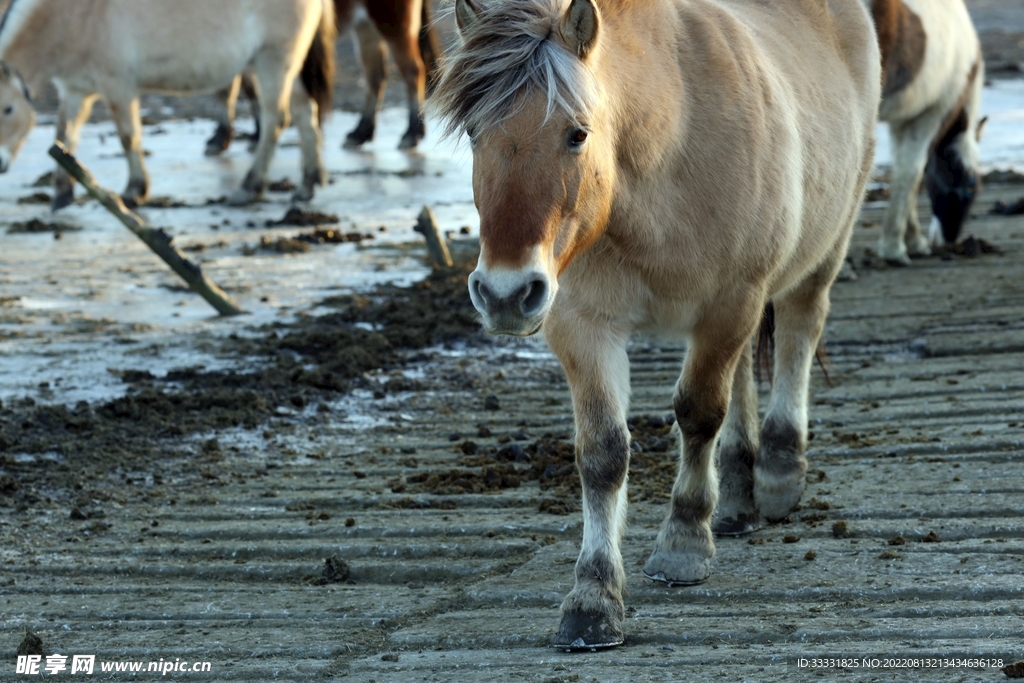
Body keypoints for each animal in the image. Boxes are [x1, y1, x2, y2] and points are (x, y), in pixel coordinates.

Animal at [0, 0, 335, 209]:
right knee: (305, 114)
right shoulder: (74, 92)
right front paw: (61, 195)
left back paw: (249, 188)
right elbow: (63, 137)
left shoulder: (118, 87)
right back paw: (307, 185)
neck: (73, 15)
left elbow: (128, 137)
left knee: (275, 120)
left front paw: (134, 192)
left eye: (7, 109)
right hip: (283, 68)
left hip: (273, 62)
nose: (1, 164)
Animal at [207, 0, 440, 155]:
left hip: (392, 24)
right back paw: (360, 133)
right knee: (375, 76)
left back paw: (411, 133)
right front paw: (236, 136)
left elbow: (235, 90)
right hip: (366, 27)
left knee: (412, 72)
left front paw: (229, 137)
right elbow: (241, 90)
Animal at [435, 0, 880, 649]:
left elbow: (698, 413)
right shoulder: (582, 323)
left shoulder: (728, 301)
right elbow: (602, 453)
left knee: (799, 331)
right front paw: (594, 599)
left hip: (819, 255)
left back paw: (777, 470)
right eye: (474, 133)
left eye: (576, 133)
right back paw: (738, 497)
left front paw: (683, 544)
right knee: (744, 372)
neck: (663, 163)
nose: (505, 294)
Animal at [868, 0, 985, 264]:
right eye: (970, 185)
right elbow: (912, 172)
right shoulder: (936, 111)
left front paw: (911, 239)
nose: (951, 239)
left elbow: (904, 170)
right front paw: (894, 247)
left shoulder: (904, 120)